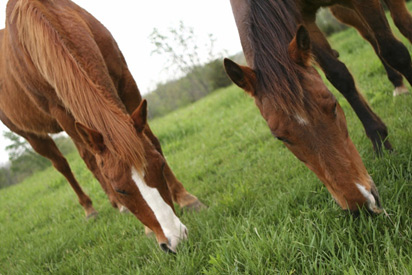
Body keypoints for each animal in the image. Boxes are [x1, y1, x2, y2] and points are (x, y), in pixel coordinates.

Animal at [0, 0, 203, 254]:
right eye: (120, 189)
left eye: (161, 165)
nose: (175, 240)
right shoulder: (62, 111)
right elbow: (92, 161)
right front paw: (145, 226)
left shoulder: (125, 80)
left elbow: (151, 139)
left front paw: (185, 197)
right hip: (31, 135)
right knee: (66, 164)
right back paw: (91, 208)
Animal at [225, 0, 384, 213]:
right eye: (281, 137)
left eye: (334, 106)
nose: (361, 204)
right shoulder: (304, 21)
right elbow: (338, 74)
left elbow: (392, 50)